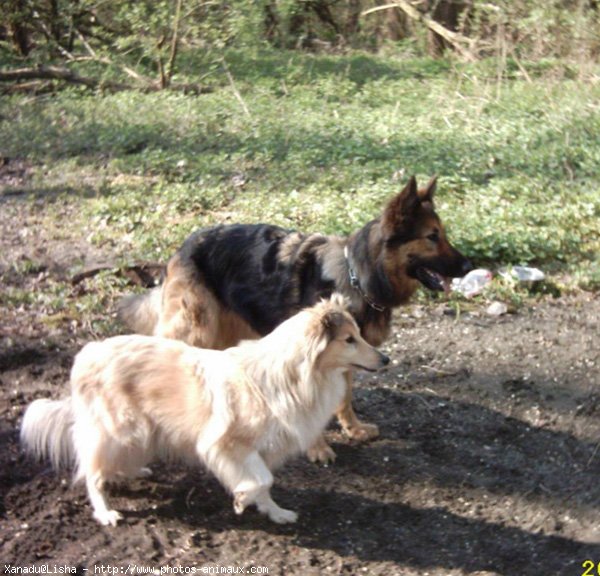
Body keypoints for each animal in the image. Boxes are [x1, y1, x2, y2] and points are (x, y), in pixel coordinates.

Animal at [19, 294, 390, 524]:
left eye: (359, 334)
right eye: (349, 340)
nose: (385, 360)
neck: (292, 375)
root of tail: (87, 354)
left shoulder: (260, 449)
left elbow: (266, 483)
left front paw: (274, 512)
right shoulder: (226, 445)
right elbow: (260, 479)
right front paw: (242, 498)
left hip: (139, 434)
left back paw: (130, 472)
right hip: (122, 429)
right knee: (91, 472)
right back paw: (106, 512)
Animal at [119, 176, 472, 464]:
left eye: (442, 234)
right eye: (432, 236)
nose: (469, 265)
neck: (357, 275)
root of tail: (183, 246)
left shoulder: (346, 354)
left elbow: (344, 397)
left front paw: (353, 428)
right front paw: (317, 448)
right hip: (197, 328)